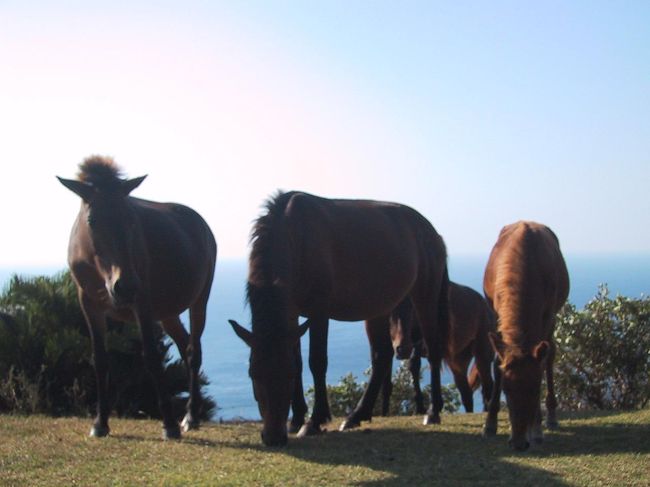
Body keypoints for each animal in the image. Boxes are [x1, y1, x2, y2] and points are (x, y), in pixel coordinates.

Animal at [58, 157, 215, 442]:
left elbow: (152, 358)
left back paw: (190, 416)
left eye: (131, 219)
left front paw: (169, 425)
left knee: (193, 350)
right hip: (167, 313)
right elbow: (100, 360)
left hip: (199, 300)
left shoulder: (142, 303)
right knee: (185, 344)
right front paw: (100, 422)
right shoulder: (89, 303)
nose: (125, 285)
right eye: (92, 220)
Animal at [230, 191, 448, 446]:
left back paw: (432, 411)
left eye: (288, 375)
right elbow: (299, 360)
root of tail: (432, 233)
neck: (296, 236)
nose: (274, 437)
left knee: (432, 349)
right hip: (379, 307)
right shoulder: (292, 314)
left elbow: (316, 362)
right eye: (253, 373)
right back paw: (357, 415)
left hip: (425, 295)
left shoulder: (319, 312)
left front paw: (314, 421)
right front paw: (297, 418)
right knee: (382, 356)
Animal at [382, 282, 494, 416]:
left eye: (412, 308)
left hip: (482, 354)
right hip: (458, 362)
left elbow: (415, 365)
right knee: (466, 393)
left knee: (487, 386)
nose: (402, 349)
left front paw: (423, 407)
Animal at [480, 220, 568, 450]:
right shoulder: (495, 311)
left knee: (550, 354)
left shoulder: (547, 314)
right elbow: (497, 361)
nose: (519, 443)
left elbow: (543, 361)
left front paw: (537, 429)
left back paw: (552, 416)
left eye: (536, 389)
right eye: (506, 390)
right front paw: (490, 423)